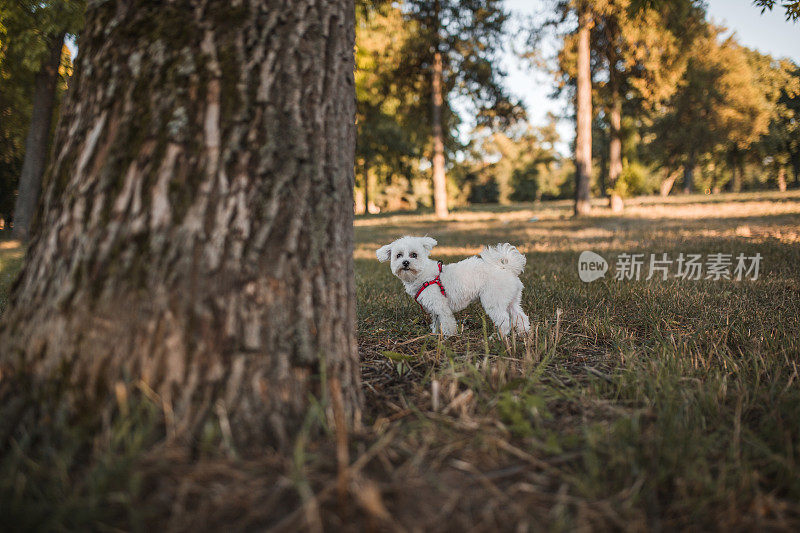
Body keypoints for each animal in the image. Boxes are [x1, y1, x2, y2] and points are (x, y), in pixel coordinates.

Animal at [376, 236, 532, 336]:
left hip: (493, 301)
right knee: (520, 317)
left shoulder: (441, 307)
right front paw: (435, 336)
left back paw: (499, 338)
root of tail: (507, 268)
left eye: (414, 255)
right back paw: (524, 333)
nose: (405, 262)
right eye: (398, 255)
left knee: (504, 321)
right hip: (511, 301)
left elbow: (447, 324)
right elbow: (436, 324)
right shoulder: (434, 310)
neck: (423, 275)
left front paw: (448, 337)